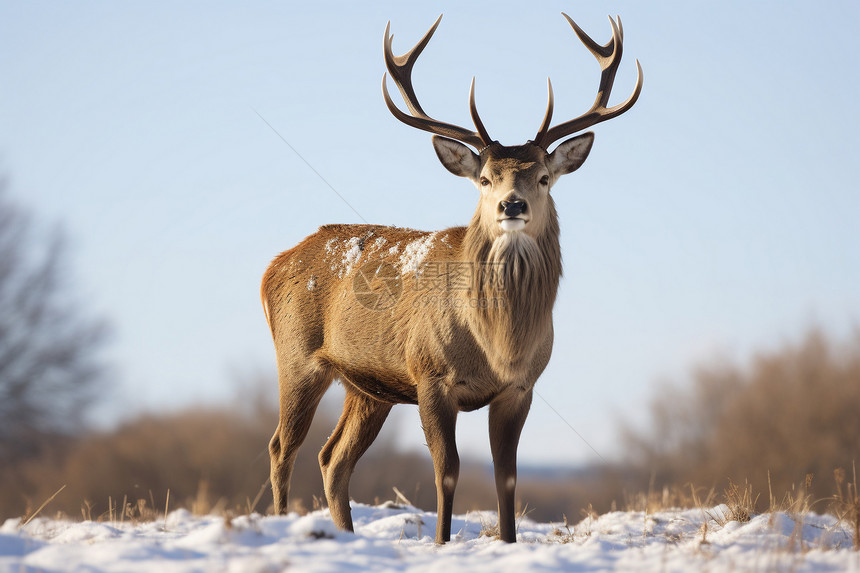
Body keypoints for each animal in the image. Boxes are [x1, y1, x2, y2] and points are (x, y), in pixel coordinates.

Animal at [260, 12, 640, 540]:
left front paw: (508, 541)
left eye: (544, 177)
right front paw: (441, 542)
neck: (497, 344)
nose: (512, 205)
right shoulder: (431, 375)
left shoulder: (520, 388)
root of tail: (275, 264)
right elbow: (448, 470)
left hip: (366, 387)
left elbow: (507, 476)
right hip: (297, 355)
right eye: (484, 178)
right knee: (282, 446)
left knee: (333, 459)